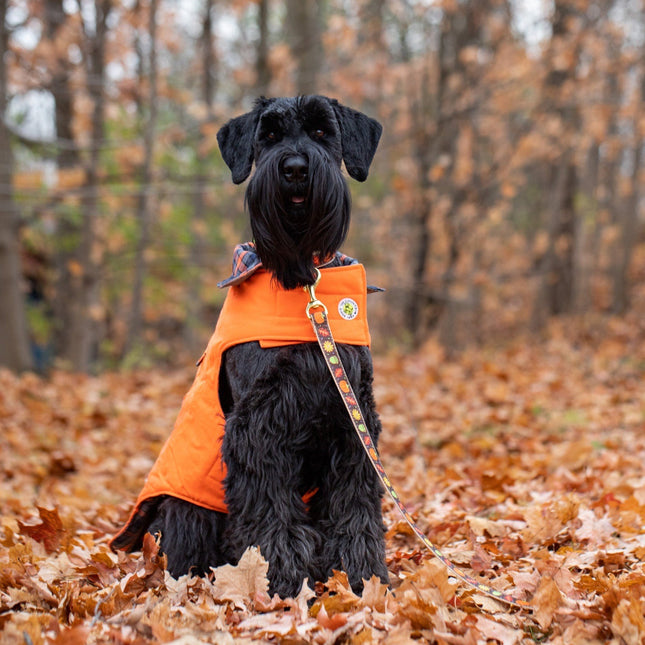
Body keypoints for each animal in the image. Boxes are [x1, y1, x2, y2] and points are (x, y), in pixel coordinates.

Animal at [112, 97, 388, 600]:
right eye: (270, 136)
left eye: (322, 132)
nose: (295, 169)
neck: (302, 283)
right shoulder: (259, 424)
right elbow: (269, 508)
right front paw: (280, 578)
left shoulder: (352, 418)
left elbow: (354, 504)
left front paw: (363, 575)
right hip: (185, 510)